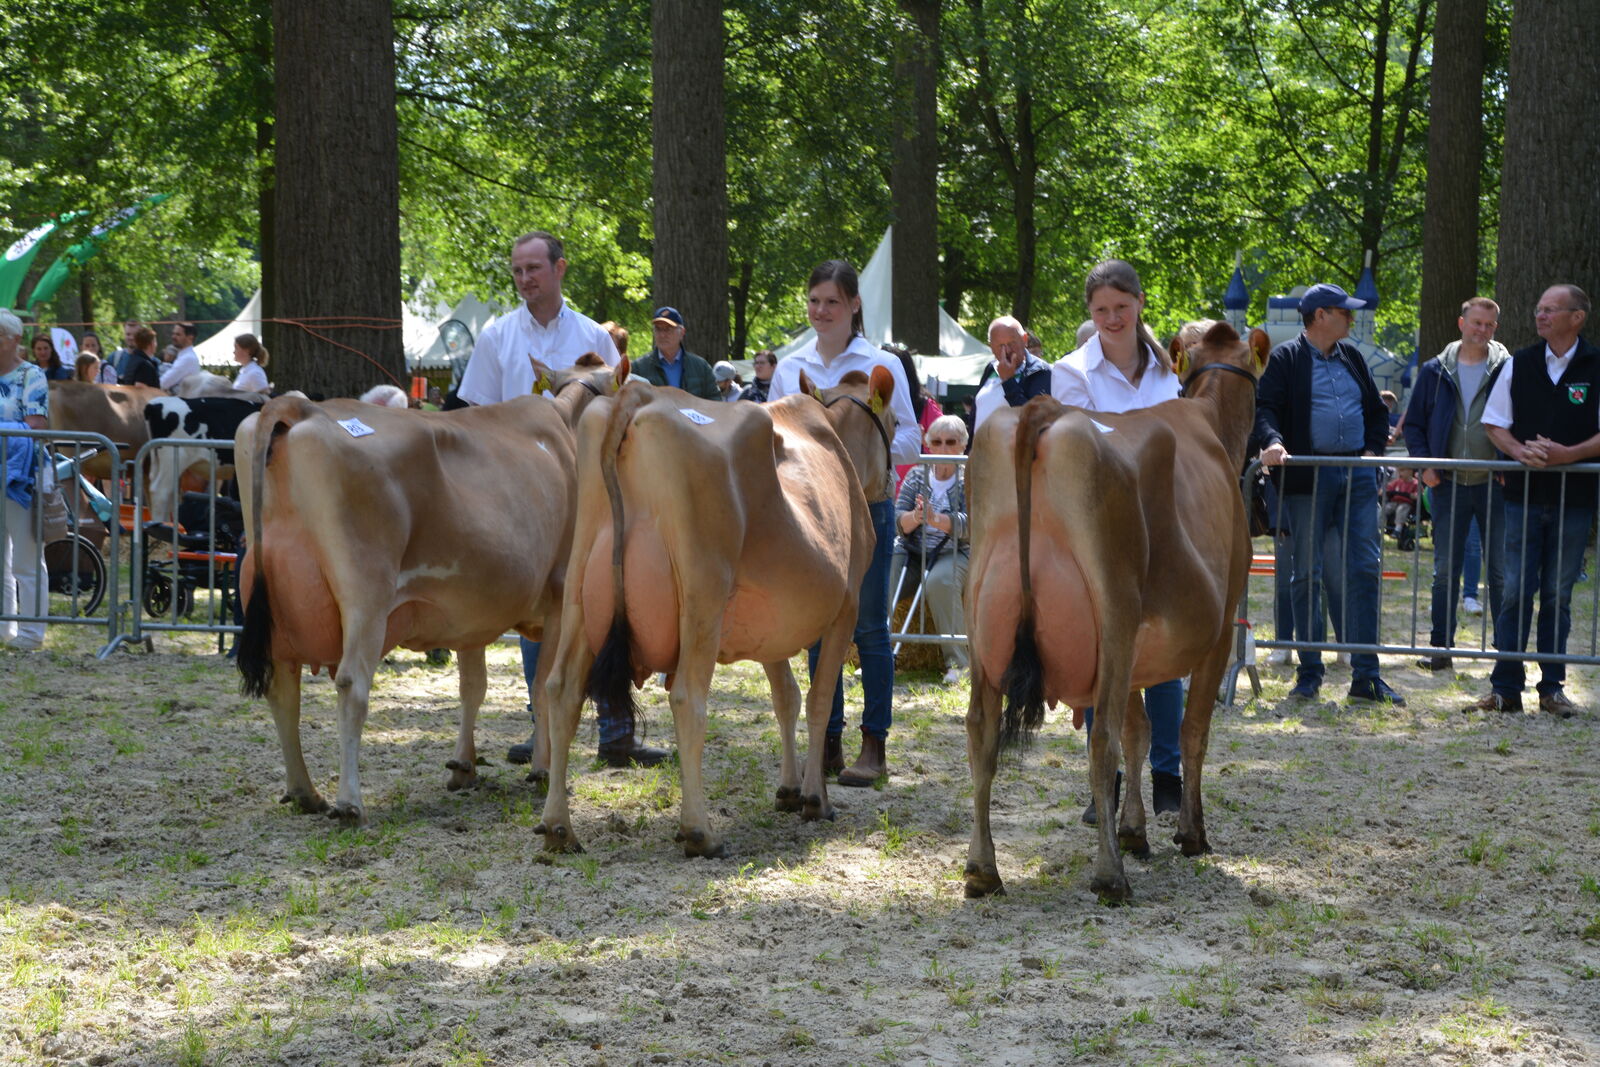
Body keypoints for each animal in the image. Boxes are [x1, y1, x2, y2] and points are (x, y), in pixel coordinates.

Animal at [236, 358, 624, 825]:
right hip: (366, 593)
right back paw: (349, 802)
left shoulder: (474, 614)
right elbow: (541, 687)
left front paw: (463, 767)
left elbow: (473, 687)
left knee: (282, 690)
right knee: (351, 685)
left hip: (272, 600)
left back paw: (304, 792)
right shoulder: (559, 598)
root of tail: (302, 407)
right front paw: (542, 770)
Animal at [531, 367, 896, 857]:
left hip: (579, 588)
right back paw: (700, 831)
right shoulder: (847, 606)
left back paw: (559, 827)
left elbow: (786, 698)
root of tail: (639, 394)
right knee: (688, 697)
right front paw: (815, 798)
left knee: (561, 689)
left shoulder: (769, 626)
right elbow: (818, 700)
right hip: (703, 594)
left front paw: (789, 789)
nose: (893, 481)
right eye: (896, 420)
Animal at [953, 323, 1267, 902]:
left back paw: (983, 869)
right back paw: (1109, 875)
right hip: (1113, 609)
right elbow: (1190, 730)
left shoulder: (1138, 653)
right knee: (1101, 743)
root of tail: (1044, 411)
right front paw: (1190, 833)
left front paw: (1134, 829)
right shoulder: (1218, 630)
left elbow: (1139, 730)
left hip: (984, 618)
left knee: (981, 733)